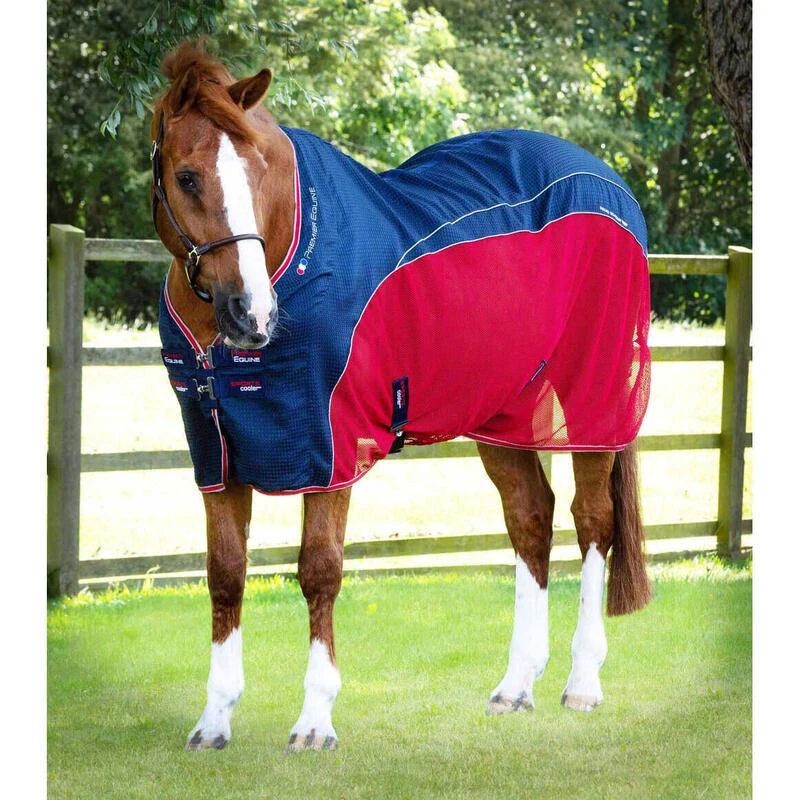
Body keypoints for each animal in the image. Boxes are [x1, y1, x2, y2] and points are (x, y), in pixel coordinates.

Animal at [151, 41, 652, 753]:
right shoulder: (217, 454)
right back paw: (516, 686)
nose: (252, 314)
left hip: (593, 398)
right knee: (531, 518)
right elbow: (225, 574)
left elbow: (319, 570)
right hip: (502, 412)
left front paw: (315, 722)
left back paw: (582, 683)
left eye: (259, 170)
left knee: (592, 523)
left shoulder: (327, 447)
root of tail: (609, 182)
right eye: (188, 177)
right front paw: (214, 721)